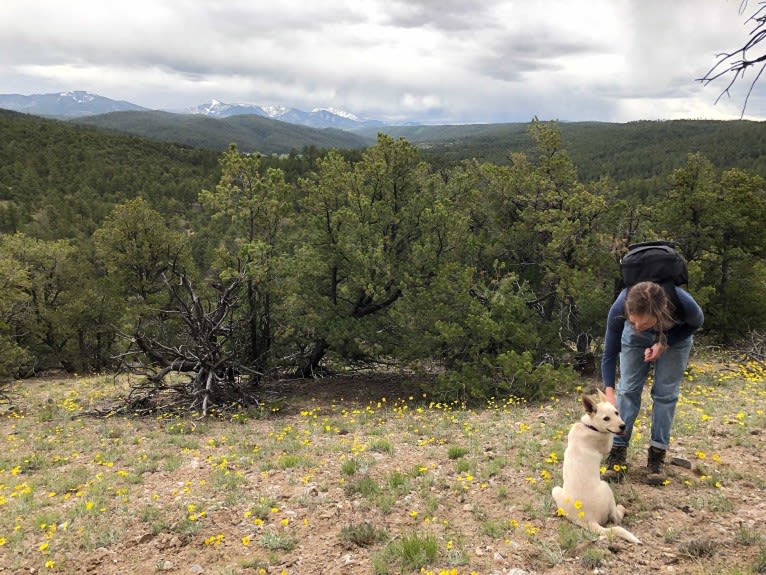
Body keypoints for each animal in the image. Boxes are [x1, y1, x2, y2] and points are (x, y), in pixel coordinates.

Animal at [552, 392, 640, 544]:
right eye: (606, 418)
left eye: (616, 412)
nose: (623, 426)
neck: (589, 426)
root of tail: (589, 520)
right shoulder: (606, 443)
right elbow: (611, 439)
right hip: (606, 487)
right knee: (616, 518)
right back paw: (621, 508)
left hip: (556, 490)